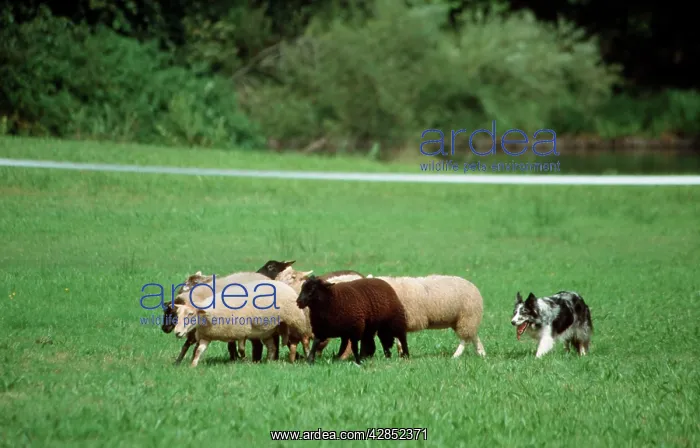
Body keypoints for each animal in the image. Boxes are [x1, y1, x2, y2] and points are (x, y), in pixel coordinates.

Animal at [173, 279, 312, 367]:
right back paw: (269, 361)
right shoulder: (206, 336)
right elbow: (198, 351)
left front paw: (245, 361)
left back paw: (307, 356)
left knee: (304, 339)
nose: (177, 332)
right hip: (267, 330)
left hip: (296, 321)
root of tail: (286, 286)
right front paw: (193, 365)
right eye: (178, 314)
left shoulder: (241, 332)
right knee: (272, 347)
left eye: (190, 314)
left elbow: (241, 350)